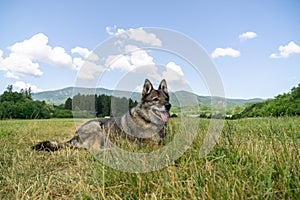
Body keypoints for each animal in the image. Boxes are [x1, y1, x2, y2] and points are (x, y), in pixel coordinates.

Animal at [32, 79, 171, 152]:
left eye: (166, 98)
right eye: (155, 99)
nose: (168, 105)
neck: (147, 119)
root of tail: (75, 134)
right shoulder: (146, 144)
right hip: (96, 127)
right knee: (93, 149)